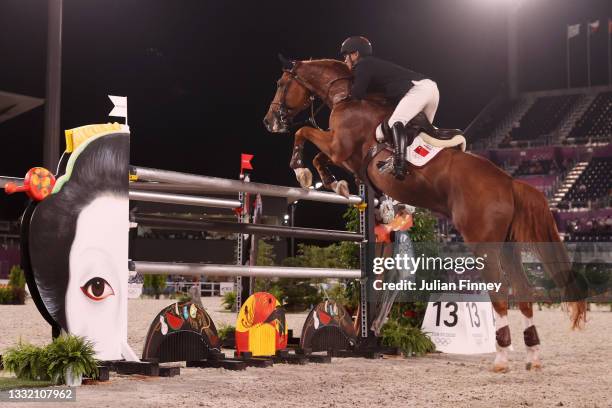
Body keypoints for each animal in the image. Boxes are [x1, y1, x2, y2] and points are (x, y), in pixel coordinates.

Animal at [264, 57, 588, 372]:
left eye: (280, 83)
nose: (269, 121)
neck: (346, 96)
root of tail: (509, 182)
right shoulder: (343, 154)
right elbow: (320, 156)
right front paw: (336, 183)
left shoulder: (339, 146)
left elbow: (304, 133)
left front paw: (303, 172)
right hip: (509, 246)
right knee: (523, 290)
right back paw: (533, 355)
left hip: (484, 245)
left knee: (500, 293)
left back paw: (501, 359)